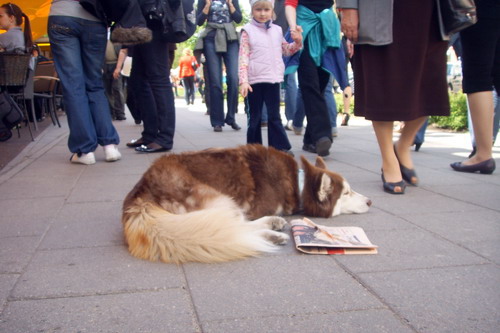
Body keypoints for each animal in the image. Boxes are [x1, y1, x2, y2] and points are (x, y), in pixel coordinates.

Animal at [122, 144, 372, 264]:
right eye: (347, 192)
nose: (370, 201)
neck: (298, 183)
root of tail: (140, 193)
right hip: (218, 198)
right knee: (232, 228)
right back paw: (271, 234)